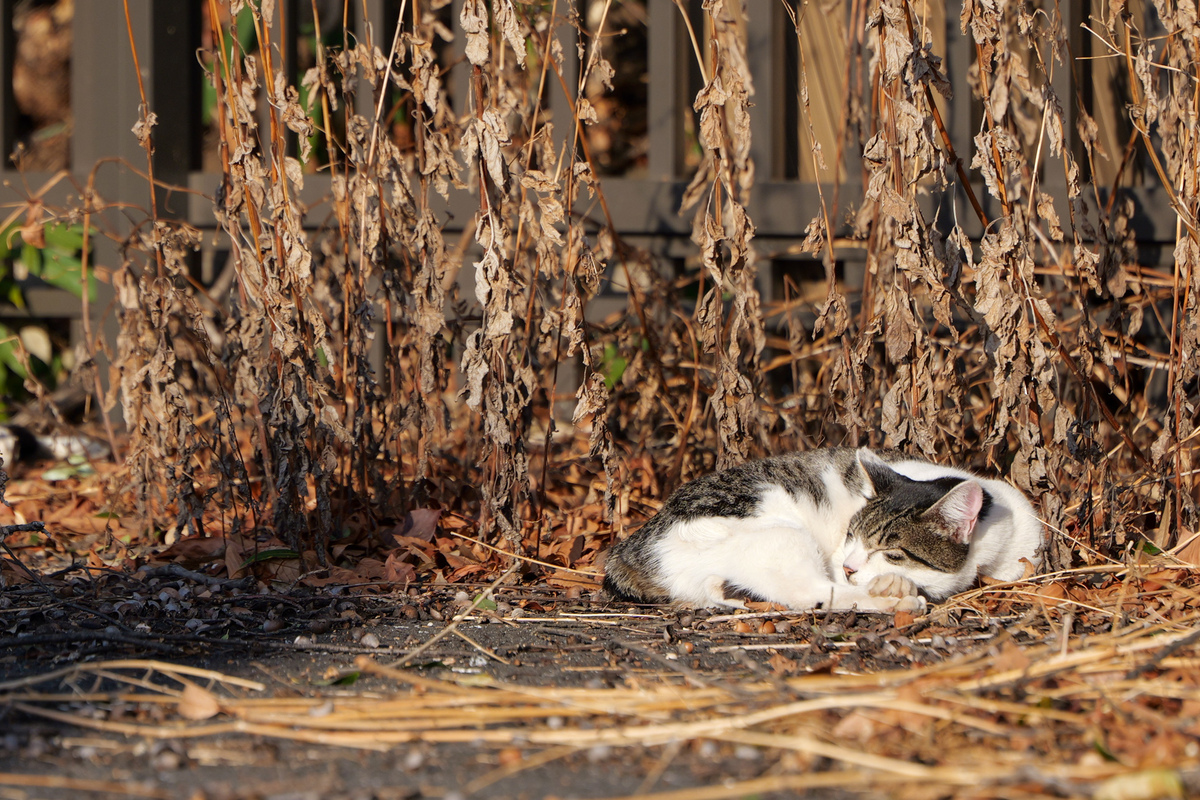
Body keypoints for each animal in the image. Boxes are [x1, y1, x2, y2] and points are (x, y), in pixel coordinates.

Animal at [603, 447, 1043, 612]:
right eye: (851, 537)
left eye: (891, 552)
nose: (849, 567)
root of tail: (630, 547)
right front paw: (896, 588)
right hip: (783, 536)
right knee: (814, 593)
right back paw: (898, 602)